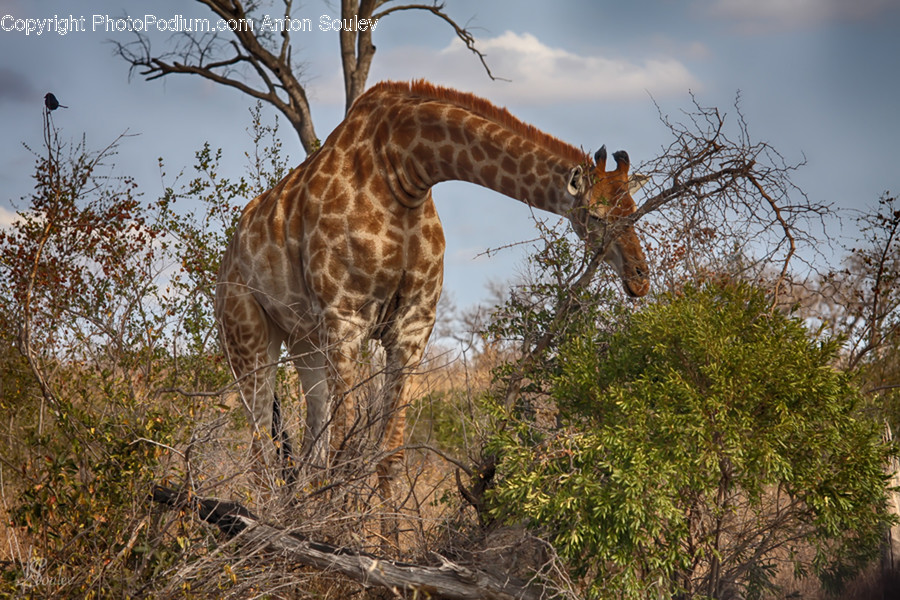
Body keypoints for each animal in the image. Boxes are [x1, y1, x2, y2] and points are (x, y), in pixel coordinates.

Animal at [215, 80, 650, 493]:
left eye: (633, 211)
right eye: (594, 216)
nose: (639, 278)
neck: (404, 171)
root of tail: (229, 253)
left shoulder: (414, 324)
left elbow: (387, 456)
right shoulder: (345, 319)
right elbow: (344, 452)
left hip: (303, 342)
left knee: (308, 451)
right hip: (247, 337)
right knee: (261, 453)